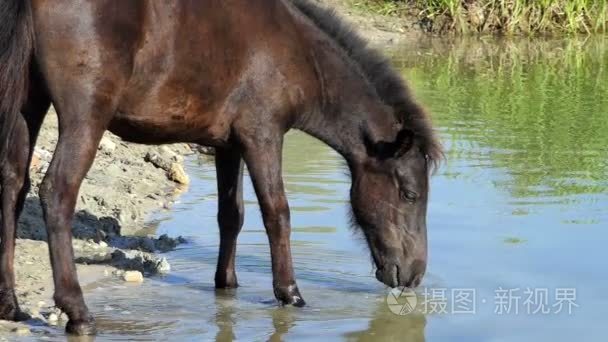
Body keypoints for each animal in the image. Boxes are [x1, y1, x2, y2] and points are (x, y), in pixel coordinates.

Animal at [0, 0, 440, 334]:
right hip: (85, 116)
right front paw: (290, 293)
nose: (415, 274)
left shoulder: (229, 146)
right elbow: (277, 214)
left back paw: (10, 303)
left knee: (13, 188)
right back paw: (77, 311)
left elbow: (232, 215)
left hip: (27, 105)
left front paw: (227, 284)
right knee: (57, 191)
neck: (298, 52)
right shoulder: (263, 136)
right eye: (410, 194)